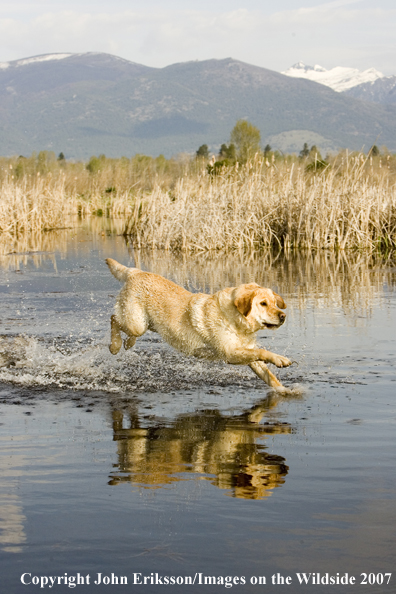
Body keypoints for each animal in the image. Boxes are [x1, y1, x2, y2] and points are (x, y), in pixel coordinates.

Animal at [106, 258, 292, 388]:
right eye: (263, 304)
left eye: (274, 303)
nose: (283, 316)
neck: (235, 320)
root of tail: (135, 272)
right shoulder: (230, 353)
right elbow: (262, 351)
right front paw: (281, 359)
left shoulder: (246, 352)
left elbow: (269, 376)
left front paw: (286, 392)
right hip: (136, 323)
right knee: (114, 318)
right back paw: (115, 346)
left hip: (145, 324)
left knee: (123, 326)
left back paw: (128, 343)